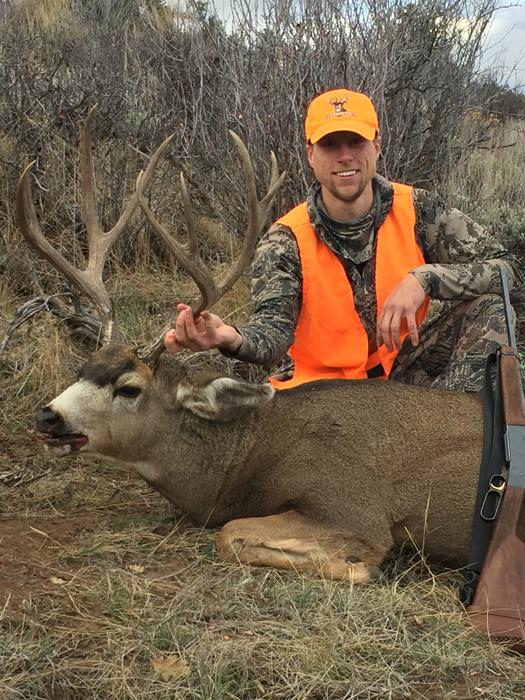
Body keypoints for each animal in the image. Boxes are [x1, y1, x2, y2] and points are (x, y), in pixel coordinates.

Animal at [17, 109, 488, 584]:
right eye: (82, 368)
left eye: (129, 388)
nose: (48, 416)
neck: (250, 456)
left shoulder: (353, 507)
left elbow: (230, 534)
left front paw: (355, 566)